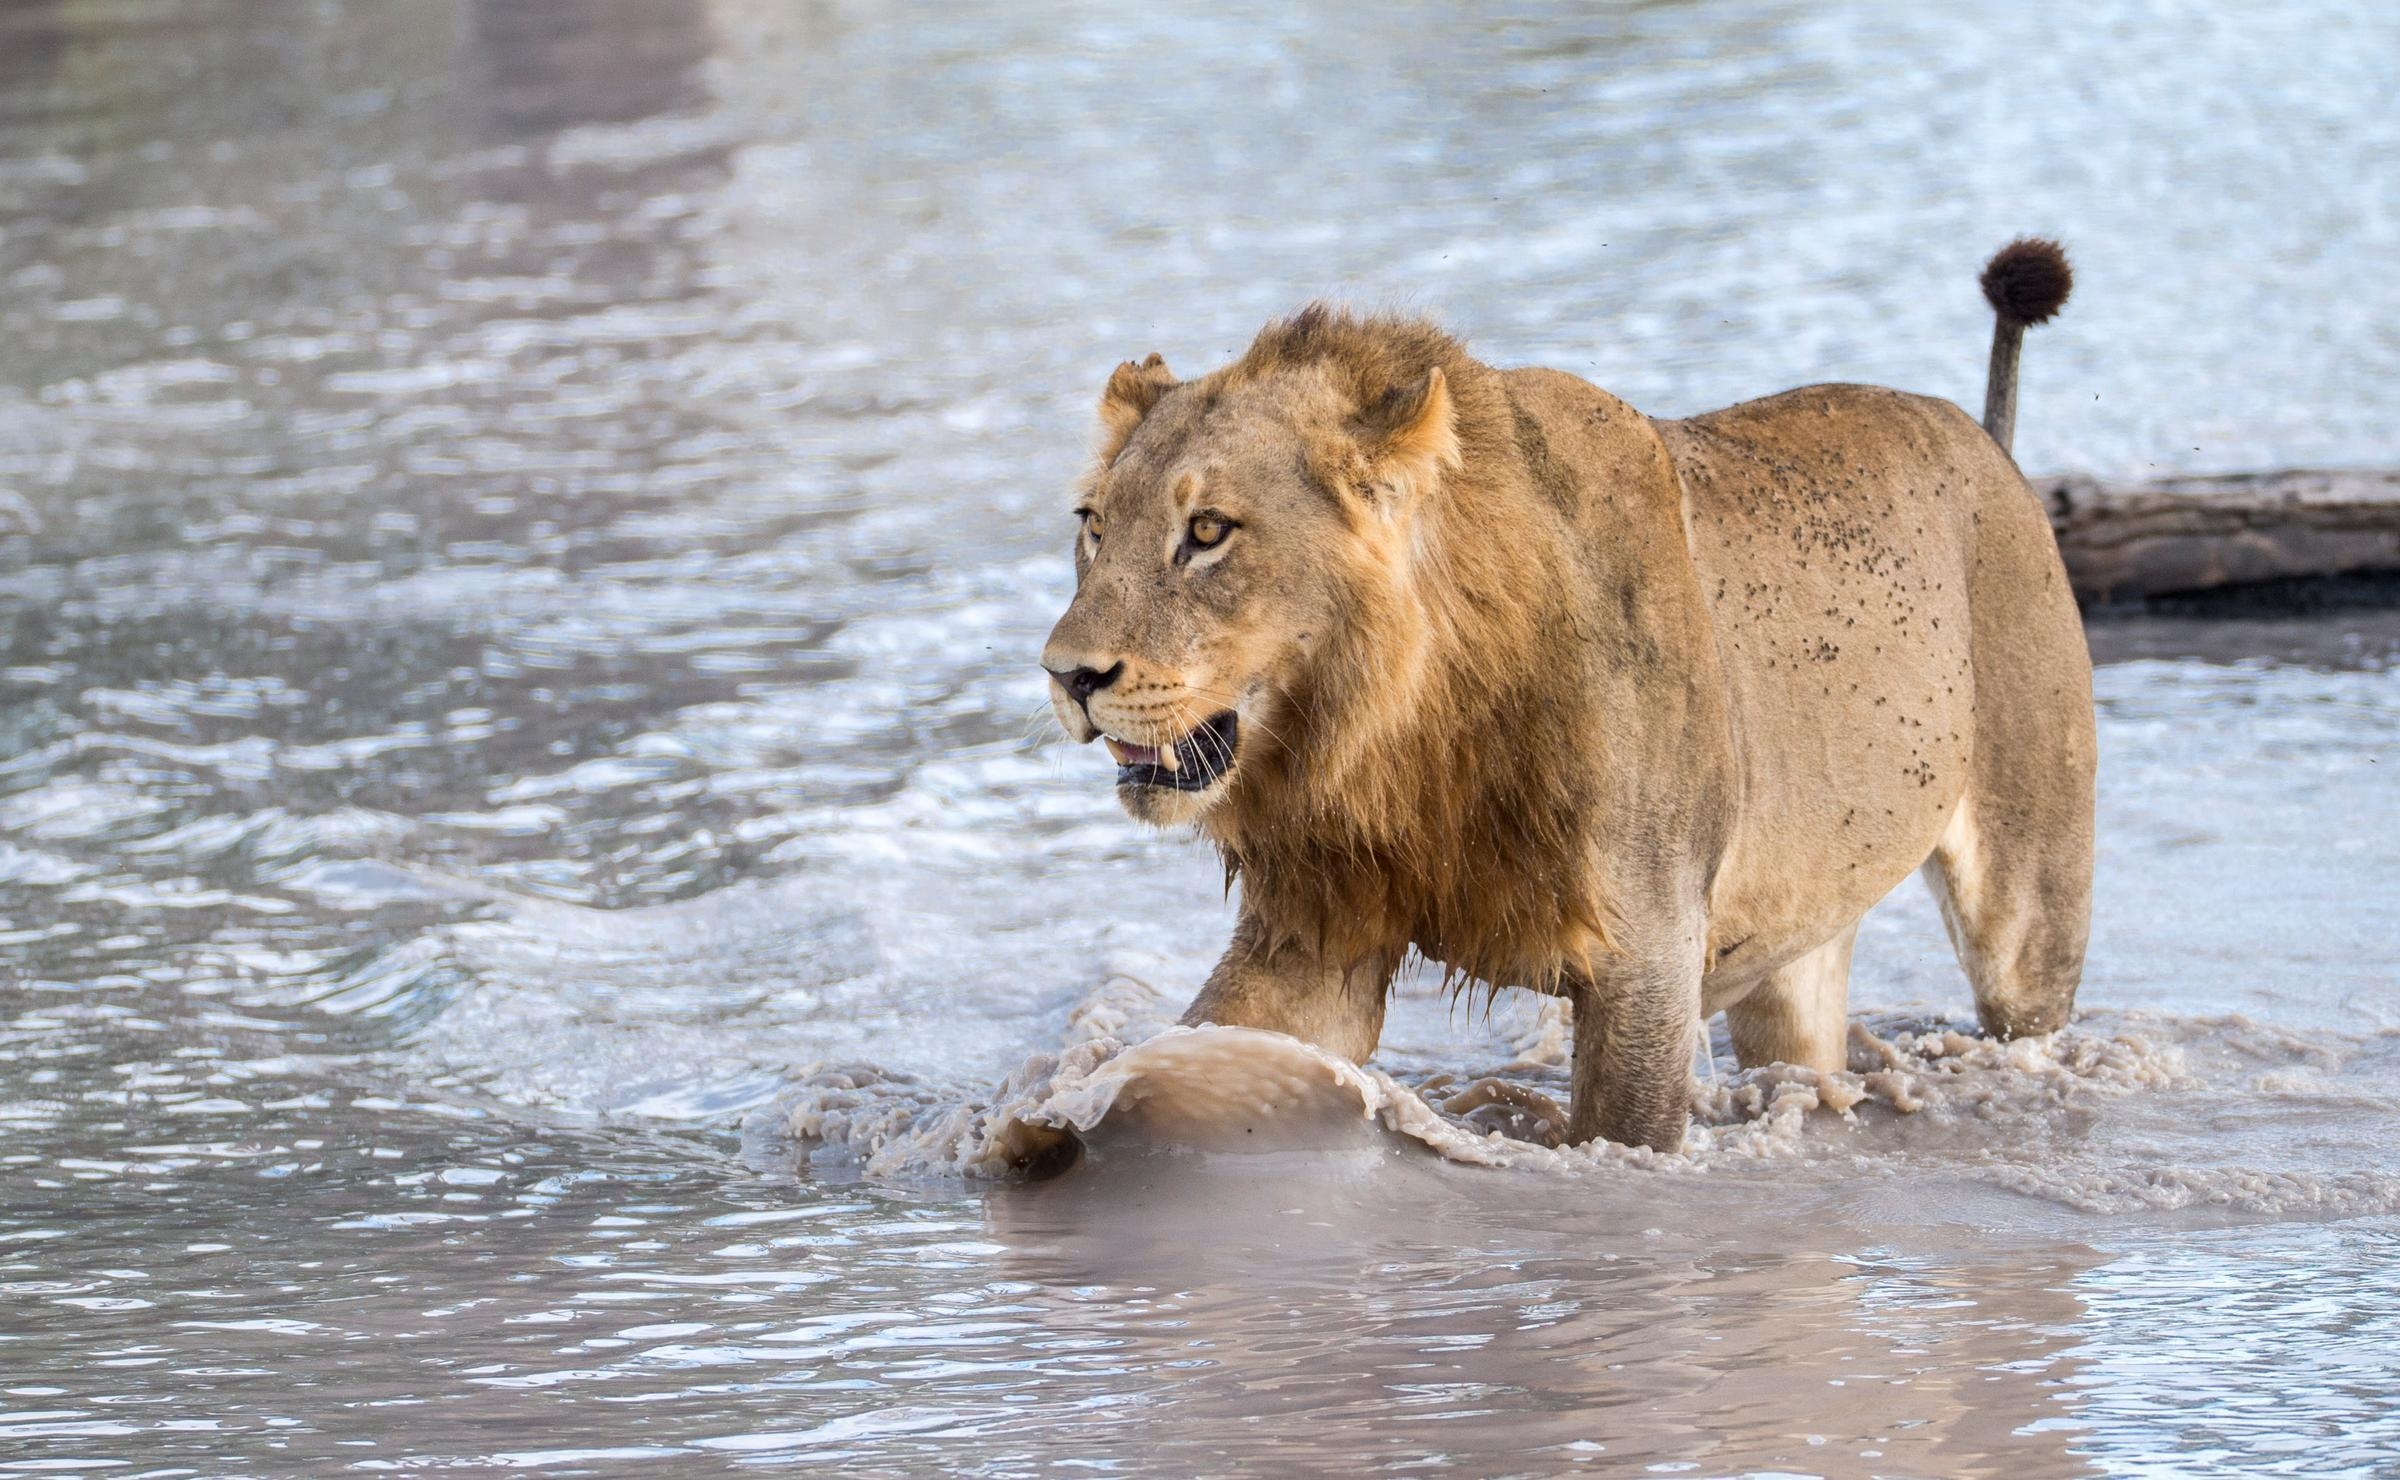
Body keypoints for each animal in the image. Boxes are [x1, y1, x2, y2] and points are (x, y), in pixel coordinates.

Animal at [1040, 240, 2094, 1152]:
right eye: (1093, 525)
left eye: (1208, 531)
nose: (1068, 675)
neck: (1392, 734)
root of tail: (1983, 442)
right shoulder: (1314, 930)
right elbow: (1206, 1050)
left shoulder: (1651, 952)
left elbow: (1620, 1136)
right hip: (1799, 935)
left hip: (2029, 903)